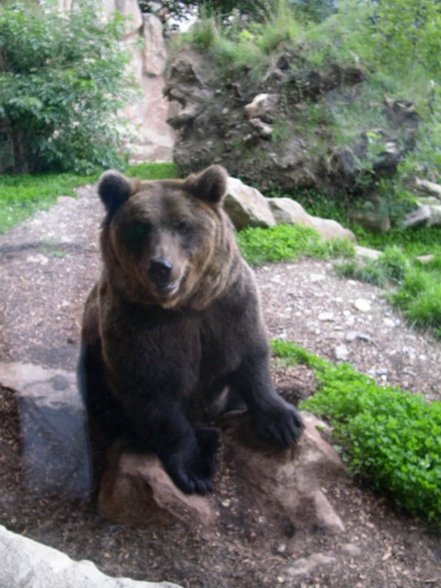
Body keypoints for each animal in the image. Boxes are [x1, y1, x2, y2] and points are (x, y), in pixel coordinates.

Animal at [80, 165, 302, 496]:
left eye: (183, 225)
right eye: (140, 227)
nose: (161, 266)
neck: (184, 304)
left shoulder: (228, 305)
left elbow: (251, 356)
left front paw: (284, 422)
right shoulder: (139, 326)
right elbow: (156, 395)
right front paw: (195, 470)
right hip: (97, 380)